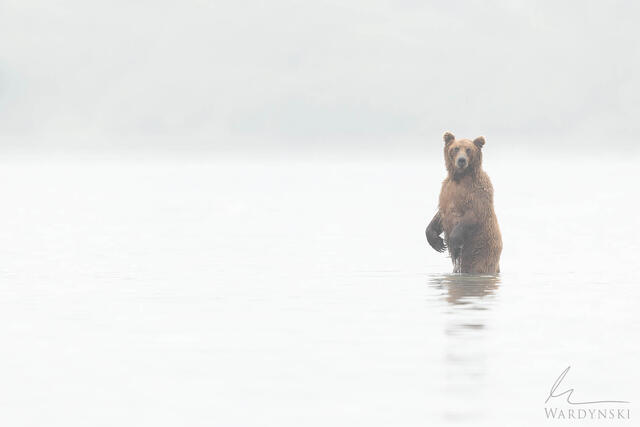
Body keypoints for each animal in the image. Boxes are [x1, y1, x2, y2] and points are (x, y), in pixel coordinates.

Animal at [425, 132, 502, 274]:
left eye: (468, 149)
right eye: (456, 148)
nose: (461, 160)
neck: (460, 178)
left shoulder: (477, 193)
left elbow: (473, 215)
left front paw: (453, 243)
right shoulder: (446, 192)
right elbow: (440, 214)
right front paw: (436, 242)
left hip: (482, 255)